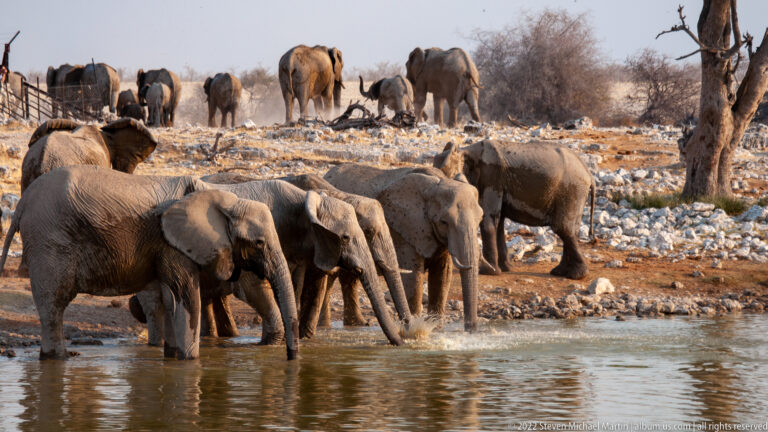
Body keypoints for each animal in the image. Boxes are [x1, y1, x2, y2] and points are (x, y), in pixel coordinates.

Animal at [0, 166, 299, 360]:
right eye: (258, 243)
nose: (291, 357)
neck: (222, 197)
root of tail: (22, 204)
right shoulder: (173, 244)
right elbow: (187, 297)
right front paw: (189, 362)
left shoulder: (166, 247)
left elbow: (169, 298)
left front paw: (172, 356)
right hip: (49, 239)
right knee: (54, 303)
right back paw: (58, 359)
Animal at [324, 164, 484, 332]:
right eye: (444, 222)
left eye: (480, 219)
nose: (470, 331)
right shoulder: (404, 231)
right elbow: (413, 277)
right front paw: (416, 329)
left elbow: (442, 275)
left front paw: (436, 329)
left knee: (348, 277)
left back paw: (357, 325)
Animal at [433, 140, 596, 279]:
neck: (467, 150)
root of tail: (589, 174)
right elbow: (498, 222)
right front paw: (505, 269)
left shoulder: (491, 177)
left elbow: (489, 220)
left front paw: (488, 272)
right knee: (570, 229)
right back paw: (561, 272)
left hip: (571, 191)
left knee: (562, 228)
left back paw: (575, 275)